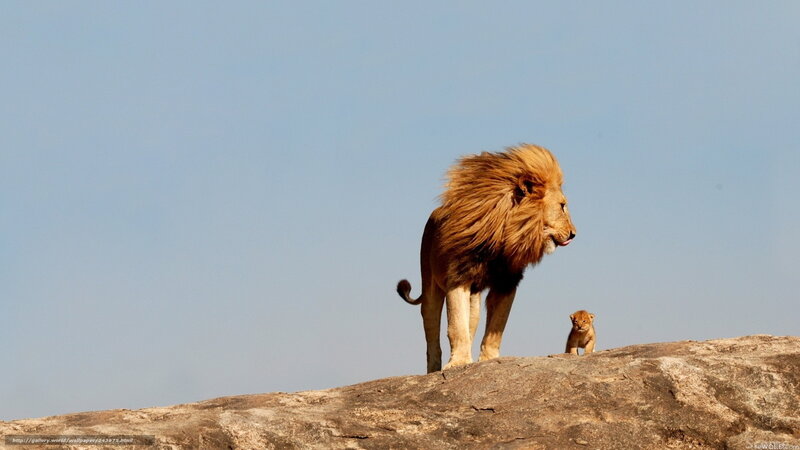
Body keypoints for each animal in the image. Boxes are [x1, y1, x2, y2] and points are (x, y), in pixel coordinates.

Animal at [397, 144, 576, 373]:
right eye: (562, 206)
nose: (573, 234)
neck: (503, 235)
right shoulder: (458, 278)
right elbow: (456, 326)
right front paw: (458, 362)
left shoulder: (507, 283)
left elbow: (496, 327)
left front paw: (488, 360)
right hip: (430, 287)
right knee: (432, 334)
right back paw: (434, 369)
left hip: (474, 300)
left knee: (471, 324)